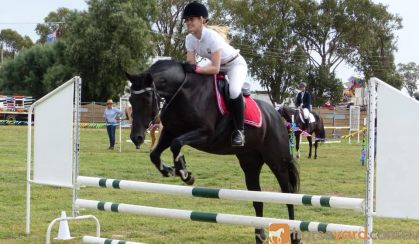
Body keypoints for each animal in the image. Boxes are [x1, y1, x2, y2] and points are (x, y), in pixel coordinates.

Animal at [126, 59, 300, 244]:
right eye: (130, 99)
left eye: (146, 99)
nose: (136, 137)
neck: (182, 91)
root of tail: (277, 116)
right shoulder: (170, 132)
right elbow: (155, 154)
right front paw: (170, 170)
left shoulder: (205, 134)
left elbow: (176, 144)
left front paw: (185, 173)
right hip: (250, 163)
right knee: (257, 197)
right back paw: (259, 234)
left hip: (276, 161)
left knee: (288, 194)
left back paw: (294, 235)